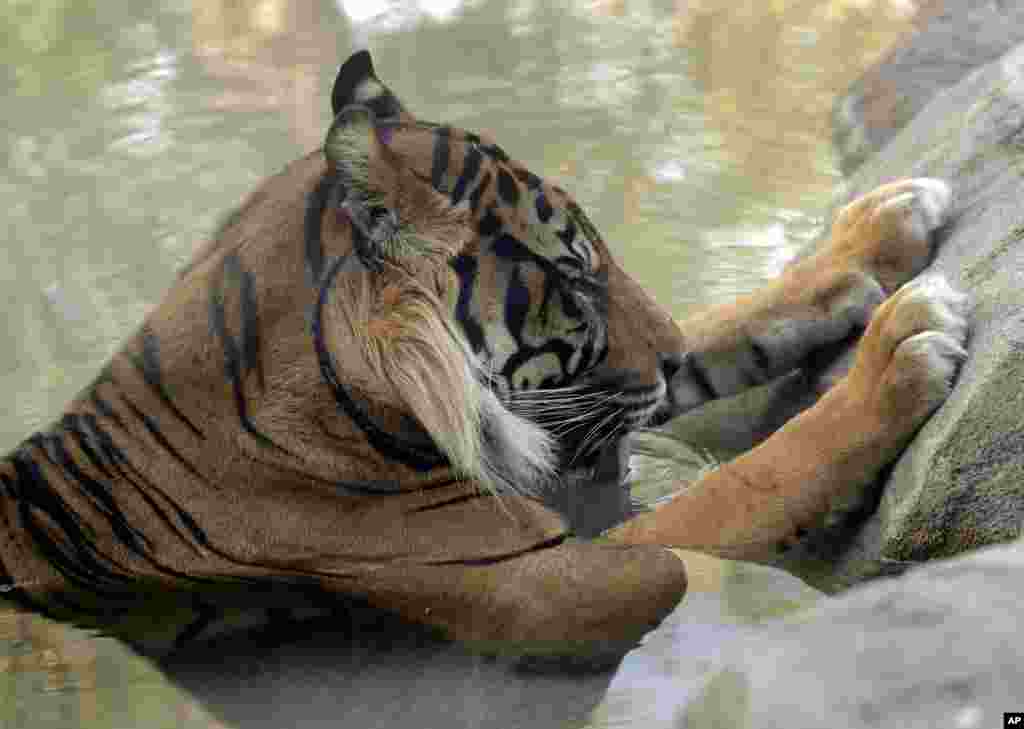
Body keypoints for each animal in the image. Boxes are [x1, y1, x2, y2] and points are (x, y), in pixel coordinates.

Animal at [0, 49, 968, 657]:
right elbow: (751, 478)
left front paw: (878, 232)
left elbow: (720, 324)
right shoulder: (559, 579)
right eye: (574, 280)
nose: (659, 360)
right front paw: (898, 350)